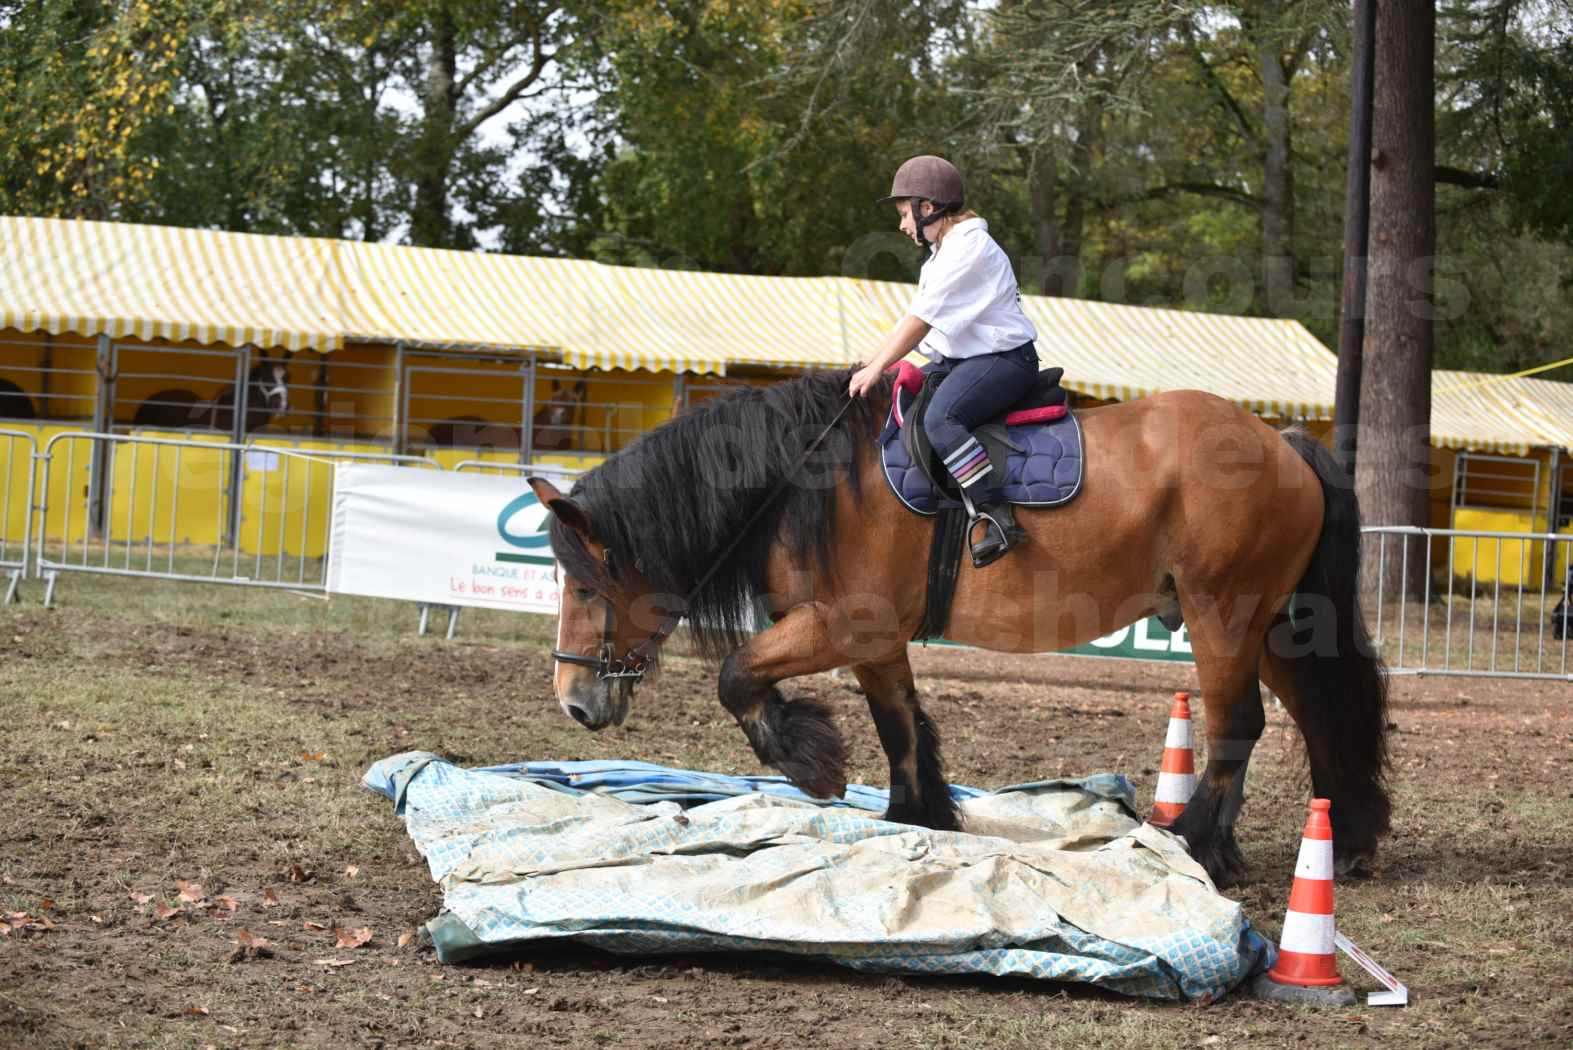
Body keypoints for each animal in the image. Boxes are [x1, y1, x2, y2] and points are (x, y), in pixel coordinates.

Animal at [528, 369, 1390, 886]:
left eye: (586, 582)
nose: (571, 700)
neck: (803, 482)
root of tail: (1281, 441)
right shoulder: (874, 639)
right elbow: (900, 724)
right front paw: (918, 816)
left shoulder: (838, 624)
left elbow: (736, 677)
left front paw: (810, 763)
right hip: (1271, 626)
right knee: (1318, 712)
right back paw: (1342, 836)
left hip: (1224, 616)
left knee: (1238, 723)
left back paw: (1197, 841)